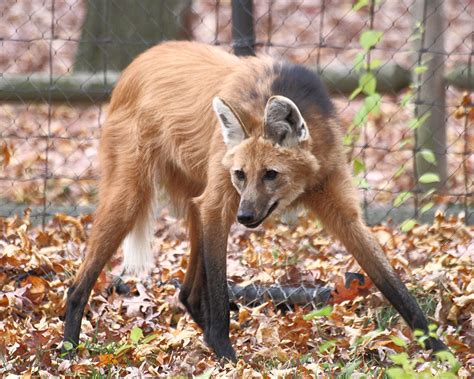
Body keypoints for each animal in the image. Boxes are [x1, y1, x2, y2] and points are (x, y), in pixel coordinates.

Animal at [64, 40, 448, 360]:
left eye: (271, 174)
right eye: (241, 174)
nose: (246, 217)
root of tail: (136, 63)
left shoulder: (339, 206)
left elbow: (392, 283)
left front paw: (440, 350)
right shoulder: (221, 204)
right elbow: (220, 290)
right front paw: (226, 355)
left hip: (194, 201)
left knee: (187, 292)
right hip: (133, 197)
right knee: (79, 283)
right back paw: (69, 350)